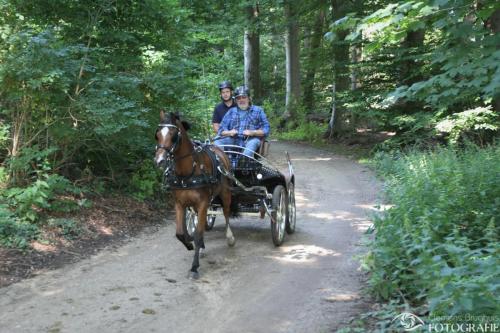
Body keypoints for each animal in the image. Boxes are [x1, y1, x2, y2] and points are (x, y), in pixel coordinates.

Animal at [155, 111, 235, 278]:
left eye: (173, 135)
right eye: (157, 134)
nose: (159, 160)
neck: (188, 171)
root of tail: (219, 149)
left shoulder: (203, 203)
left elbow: (198, 234)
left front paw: (194, 266)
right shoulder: (179, 204)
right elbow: (180, 233)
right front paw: (190, 245)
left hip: (225, 193)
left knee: (226, 213)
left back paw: (230, 237)